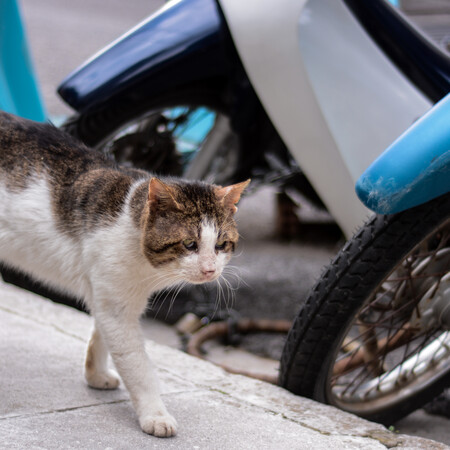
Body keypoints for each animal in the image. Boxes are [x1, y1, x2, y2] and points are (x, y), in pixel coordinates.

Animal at [0, 110, 250, 438]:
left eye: (221, 245)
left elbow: (101, 336)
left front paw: (95, 374)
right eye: (189, 244)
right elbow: (138, 367)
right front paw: (155, 415)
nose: (209, 269)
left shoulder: (112, 297)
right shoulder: (117, 306)